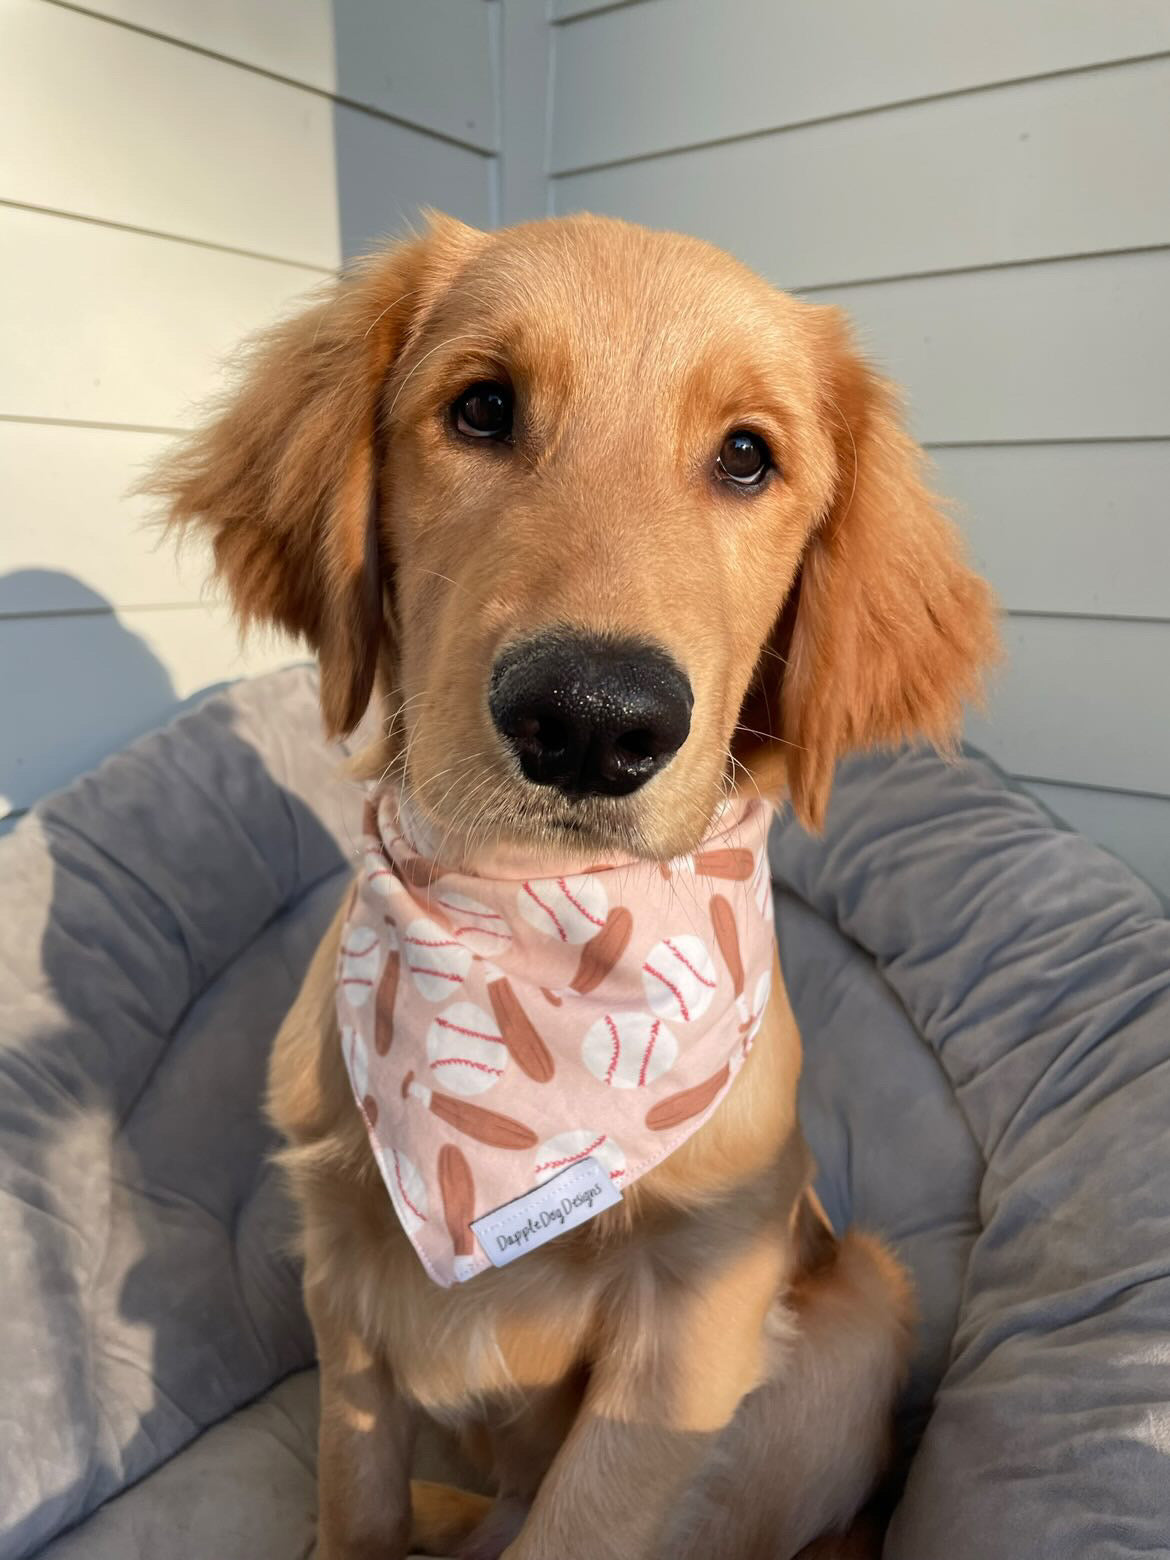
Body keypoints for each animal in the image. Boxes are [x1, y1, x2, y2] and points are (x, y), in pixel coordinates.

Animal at [151, 210, 1004, 1560]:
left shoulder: (691, 1334)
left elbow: (578, 1528)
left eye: (748, 456)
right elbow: (354, 1496)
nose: (594, 722)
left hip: (864, 1305)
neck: (535, 935)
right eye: (483, 407)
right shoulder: (342, 1278)